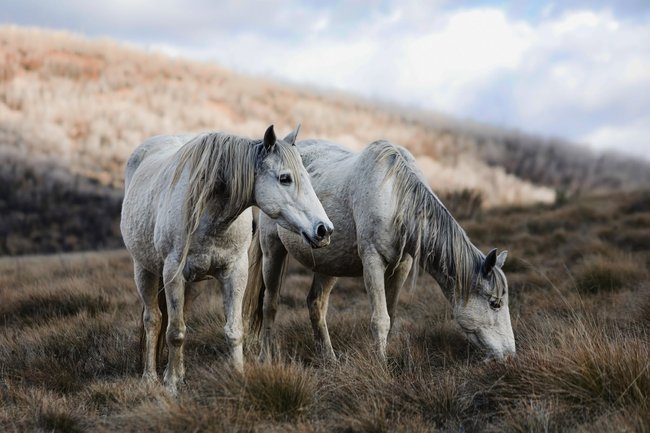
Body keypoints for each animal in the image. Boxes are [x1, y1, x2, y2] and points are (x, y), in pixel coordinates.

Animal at [120, 125, 333, 395]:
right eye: (285, 178)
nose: (324, 230)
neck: (207, 214)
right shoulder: (172, 273)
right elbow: (175, 331)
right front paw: (171, 386)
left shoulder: (235, 273)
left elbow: (233, 330)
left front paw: (238, 378)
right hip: (144, 270)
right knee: (153, 320)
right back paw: (150, 377)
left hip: (191, 284)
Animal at [244, 138, 515, 363]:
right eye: (495, 303)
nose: (509, 354)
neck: (394, 197)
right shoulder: (373, 261)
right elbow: (380, 319)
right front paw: (381, 364)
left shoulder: (402, 266)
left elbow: (391, 316)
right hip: (273, 250)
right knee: (270, 304)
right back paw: (265, 358)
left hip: (328, 264)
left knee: (316, 304)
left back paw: (329, 359)